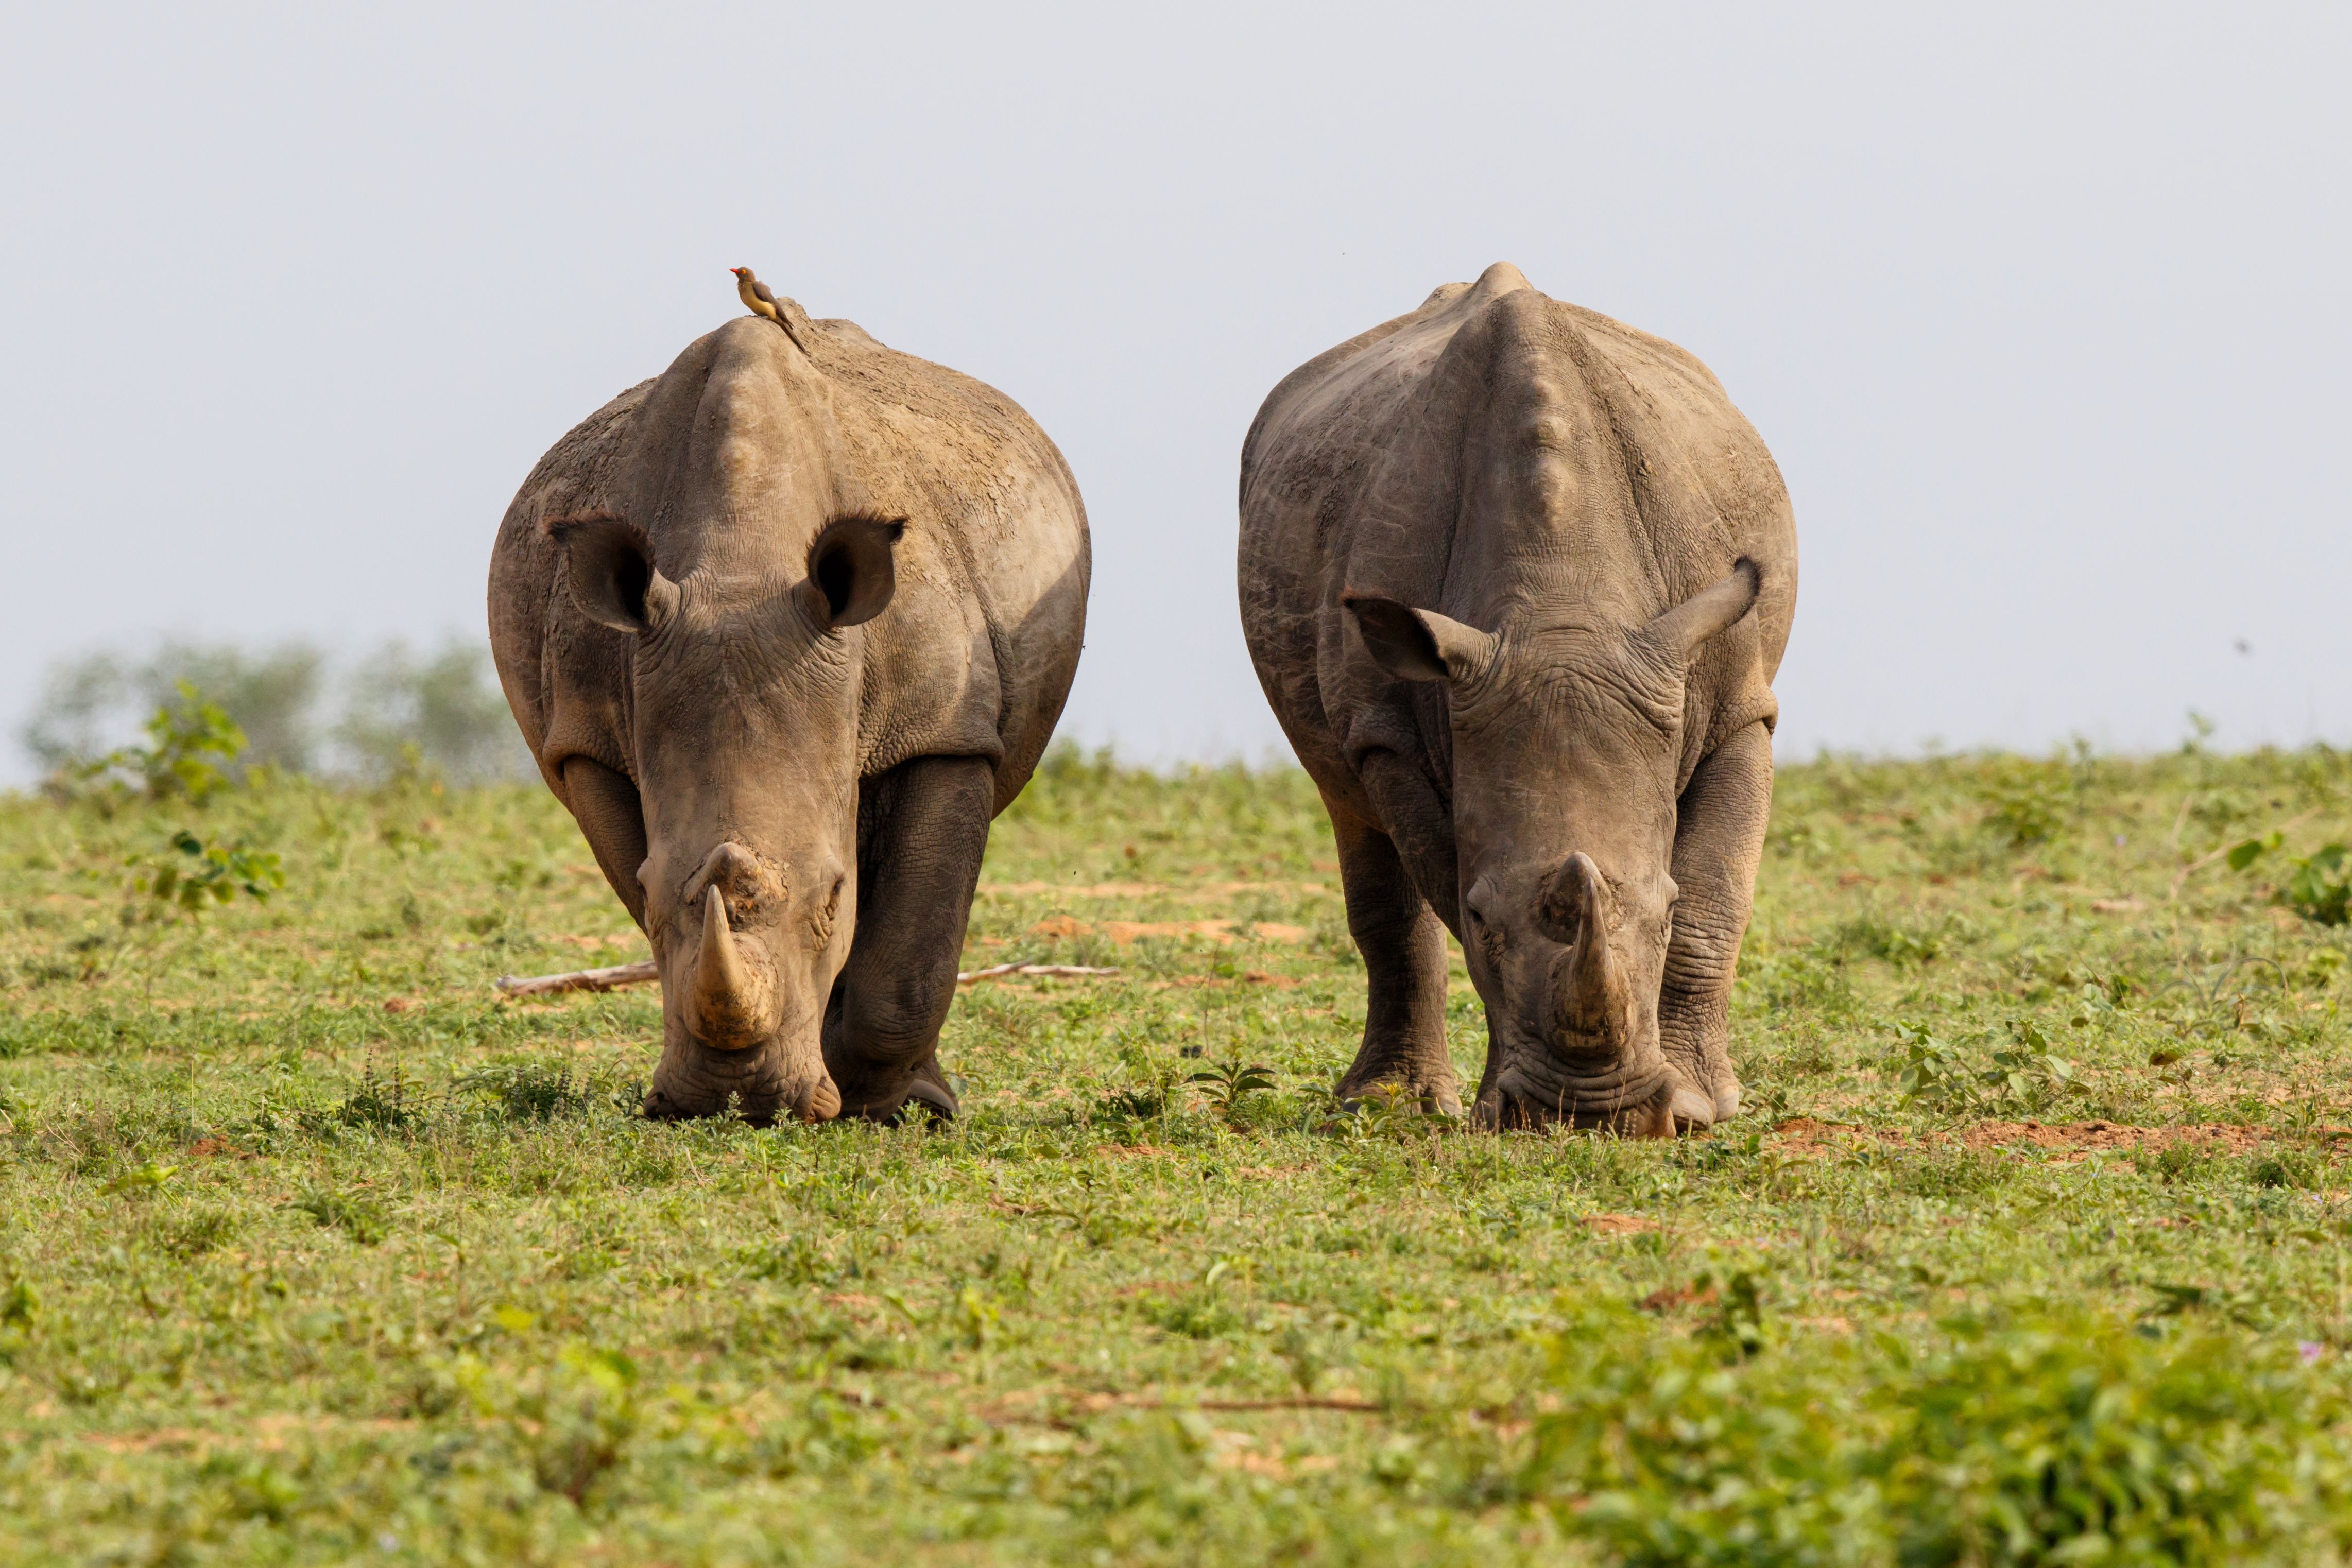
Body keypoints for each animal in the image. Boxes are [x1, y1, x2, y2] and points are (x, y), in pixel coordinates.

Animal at [489, 294, 1089, 1122]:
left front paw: (896, 1107)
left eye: (833, 898)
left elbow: (910, 949)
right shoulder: (586, 738)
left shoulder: (943, 728)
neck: (741, 564)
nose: (737, 1098)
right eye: (646, 889)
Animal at [1238, 263, 1796, 1134]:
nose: (1593, 1117)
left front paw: (1701, 1105)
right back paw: (1384, 1103)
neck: (1562, 613)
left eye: (1663, 912)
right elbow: (1443, 885)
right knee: (1348, 805)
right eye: (1481, 916)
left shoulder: (1737, 702)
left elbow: (1716, 898)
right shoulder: (1392, 731)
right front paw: (1498, 1114)